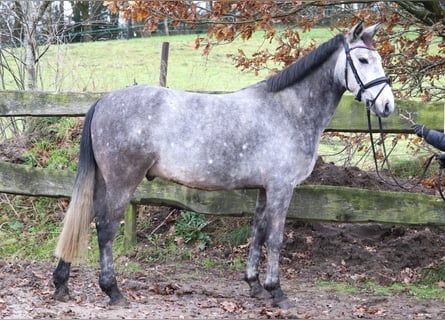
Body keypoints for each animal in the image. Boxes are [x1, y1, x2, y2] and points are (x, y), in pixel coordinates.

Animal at [53, 21, 392, 308]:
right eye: (363, 61)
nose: (387, 105)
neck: (288, 110)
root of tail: (103, 101)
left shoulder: (264, 189)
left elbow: (258, 233)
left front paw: (255, 286)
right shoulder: (281, 187)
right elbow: (276, 238)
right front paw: (277, 292)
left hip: (103, 181)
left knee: (84, 218)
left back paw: (61, 285)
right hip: (122, 182)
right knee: (106, 229)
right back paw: (113, 291)